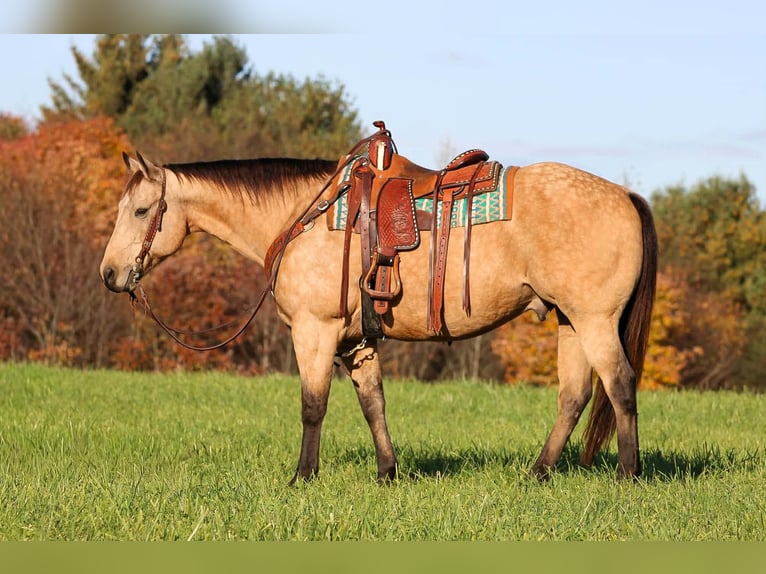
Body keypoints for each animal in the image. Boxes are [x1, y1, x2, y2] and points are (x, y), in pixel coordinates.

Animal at [99, 132, 657, 485]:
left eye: (142, 211)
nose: (109, 273)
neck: (304, 216)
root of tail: (625, 194)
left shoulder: (315, 331)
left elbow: (313, 404)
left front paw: (303, 478)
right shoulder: (356, 341)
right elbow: (374, 403)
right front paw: (387, 473)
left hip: (595, 321)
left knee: (620, 385)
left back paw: (627, 476)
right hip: (570, 321)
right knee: (574, 396)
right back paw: (538, 474)